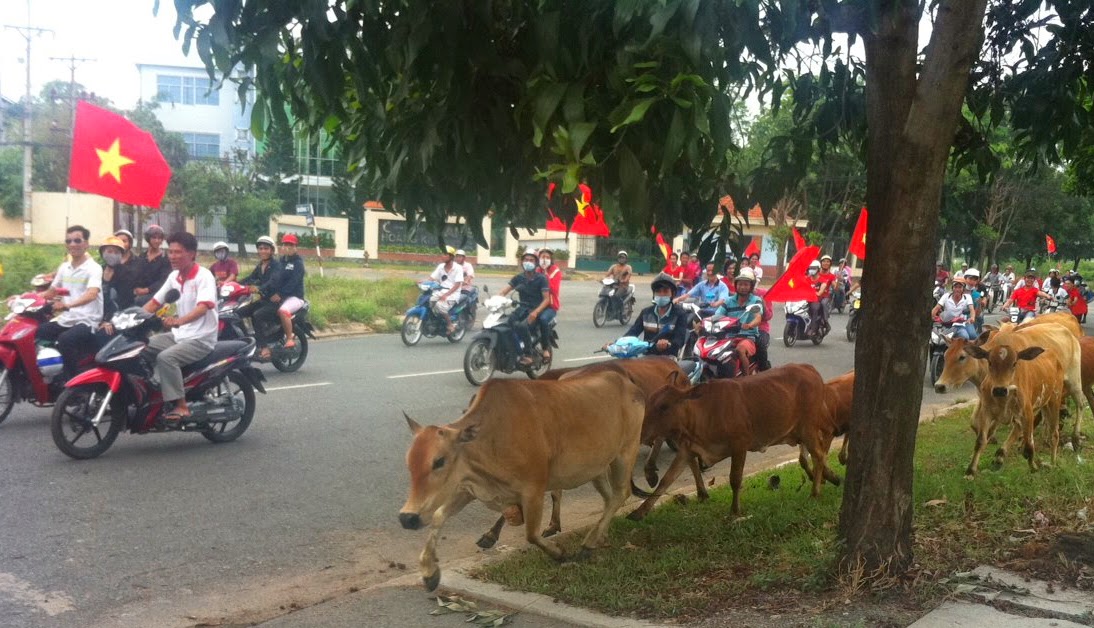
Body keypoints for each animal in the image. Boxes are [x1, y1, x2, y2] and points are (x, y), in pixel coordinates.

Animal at [400, 371, 638, 595]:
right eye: (409, 461)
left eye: (439, 461)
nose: (407, 517)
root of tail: (625, 382)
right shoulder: (469, 489)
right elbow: (438, 516)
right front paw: (430, 573)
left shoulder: (534, 490)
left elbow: (531, 534)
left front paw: (559, 553)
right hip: (597, 468)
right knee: (609, 497)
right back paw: (599, 536)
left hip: (625, 453)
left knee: (622, 493)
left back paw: (588, 544)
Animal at [630, 363, 822, 520]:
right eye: (649, 402)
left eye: (664, 406)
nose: (641, 431)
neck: (702, 414)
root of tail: (810, 369)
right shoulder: (688, 449)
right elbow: (666, 479)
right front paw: (640, 512)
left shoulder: (740, 445)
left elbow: (735, 479)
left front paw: (735, 511)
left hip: (808, 428)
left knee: (818, 455)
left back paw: (815, 492)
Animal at [967, 345, 1058, 477]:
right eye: (990, 362)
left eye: (1014, 363)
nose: (1000, 390)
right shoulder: (986, 412)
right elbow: (980, 441)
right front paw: (970, 471)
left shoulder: (1027, 413)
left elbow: (1029, 445)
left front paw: (1033, 468)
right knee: (1017, 430)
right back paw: (1000, 455)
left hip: (1054, 400)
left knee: (1054, 434)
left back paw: (1053, 463)